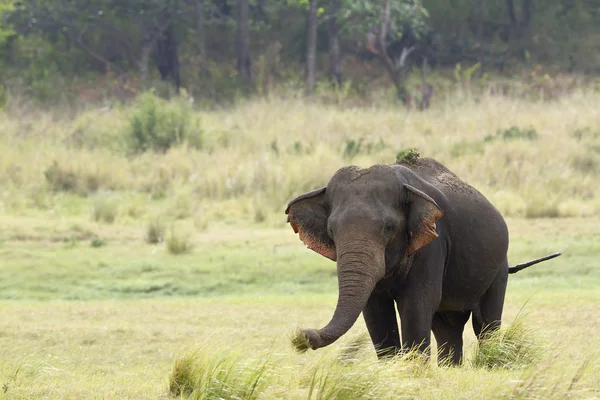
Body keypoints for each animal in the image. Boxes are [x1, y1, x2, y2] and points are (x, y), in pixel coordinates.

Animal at [286, 157, 556, 366]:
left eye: (389, 227)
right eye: (331, 230)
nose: (301, 336)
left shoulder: (433, 242)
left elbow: (416, 304)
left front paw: (412, 372)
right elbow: (375, 310)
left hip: (498, 268)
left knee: (485, 324)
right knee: (447, 327)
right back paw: (450, 369)